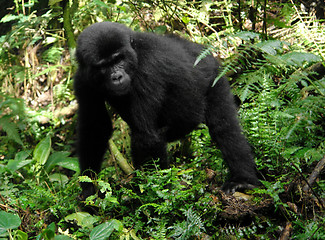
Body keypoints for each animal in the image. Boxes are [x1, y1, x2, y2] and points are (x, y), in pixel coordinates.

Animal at [74, 21, 260, 198]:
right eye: (103, 66)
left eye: (119, 59)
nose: (117, 77)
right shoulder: (83, 78)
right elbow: (96, 128)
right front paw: (89, 187)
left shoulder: (147, 70)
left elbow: (146, 136)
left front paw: (147, 195)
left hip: (215, 76)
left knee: (224, 126)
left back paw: (243, 179)